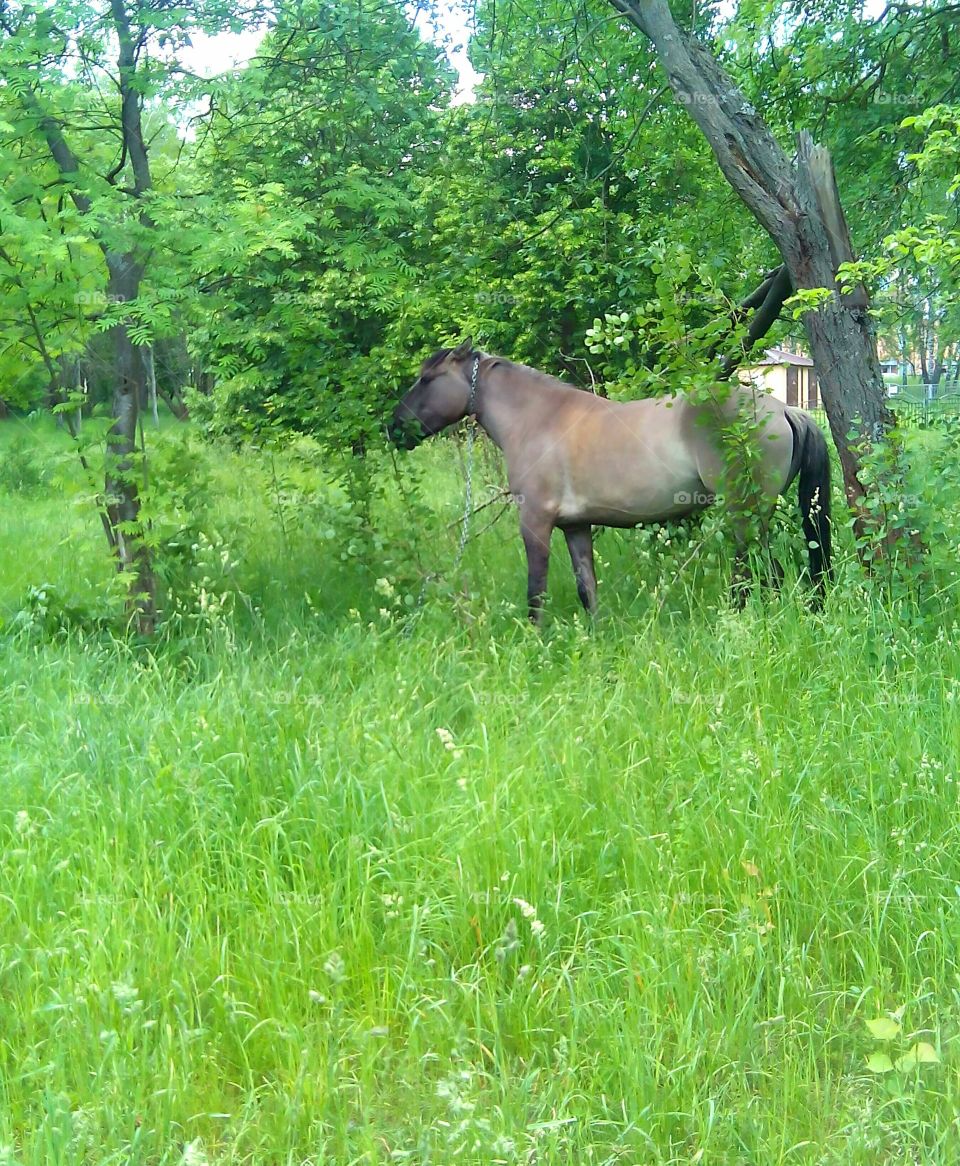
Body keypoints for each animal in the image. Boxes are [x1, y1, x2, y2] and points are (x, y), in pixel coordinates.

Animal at [387, 340, 830, 624]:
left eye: (427, 379)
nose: (393, 428)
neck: (537, 419)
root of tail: (782, 410)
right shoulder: (576, 526)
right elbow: (587, 588)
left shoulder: (535, 522)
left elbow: (536, 588)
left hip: (744, 513)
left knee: (759, 572)